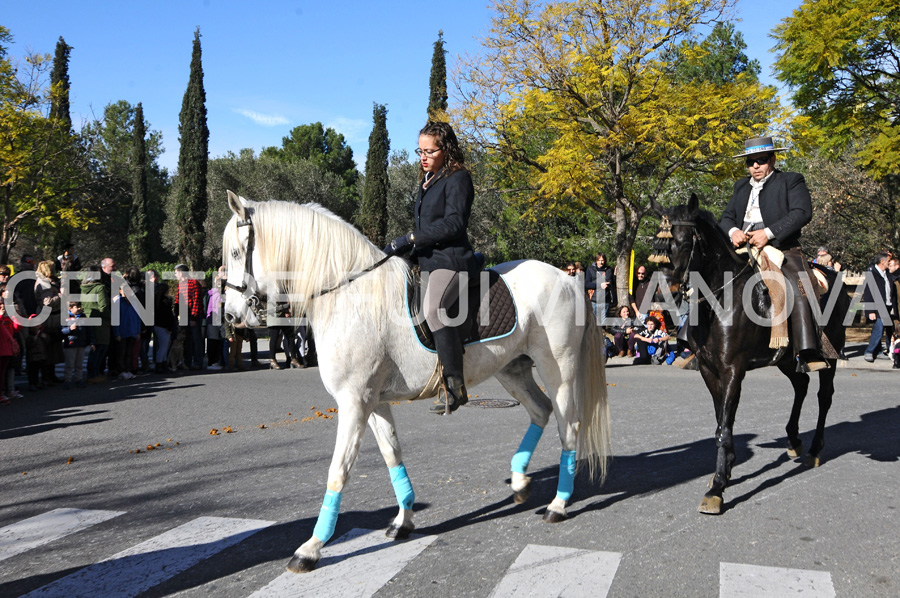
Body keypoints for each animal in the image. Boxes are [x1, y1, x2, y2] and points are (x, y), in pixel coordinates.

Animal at [221, 190, 612, 576]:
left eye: (238, 253)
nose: (230, 316)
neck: (350, 294)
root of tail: (567, 279)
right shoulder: (373, 401)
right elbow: (392, 455)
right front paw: (403, 520)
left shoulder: (353, 401)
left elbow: (338, 471)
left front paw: (311, 548)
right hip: (512, 370)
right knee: (540, 411)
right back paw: (519, 481)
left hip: (557, 370)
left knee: (568, 427)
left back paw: (558, 504)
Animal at [652, 196, 848, 516]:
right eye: (657, 245)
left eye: (684, 242)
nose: (661, 296)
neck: (721, 301)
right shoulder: (709, 370)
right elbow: (721, 422)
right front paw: (725, 471)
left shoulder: (733, 370)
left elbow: (724, 425)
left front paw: (718, 488)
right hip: (786, 359)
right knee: (801, 386)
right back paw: (793, 438)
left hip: (829, 357)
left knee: (824, 396)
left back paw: (814, 449)